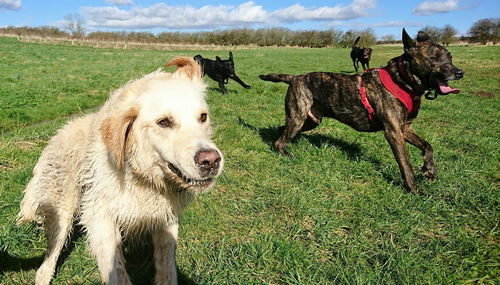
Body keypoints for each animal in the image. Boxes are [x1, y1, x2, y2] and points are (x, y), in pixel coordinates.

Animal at [17, 56, 224, 282]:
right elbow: (116, 271)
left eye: (203, 117)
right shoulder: (101, 219)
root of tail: (57, 135)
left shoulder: (166, 219)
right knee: (48, 258)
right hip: (61, 213)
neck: (140, 178)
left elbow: (167, 268)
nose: (211, 161)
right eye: (164, 122)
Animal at [260, 28, 462, 193]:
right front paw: (414, 189)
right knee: (280, 140)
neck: (402, 81)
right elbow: (405, 164)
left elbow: (428, 146)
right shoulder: (394, 132)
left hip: (310, 120)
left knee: (282, 130)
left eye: (450, 57)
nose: (460, 73)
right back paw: (285, 152)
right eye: (433, 58)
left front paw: (429, 169)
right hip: (298, 117)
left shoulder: (405, 128)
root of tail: (294, 78)